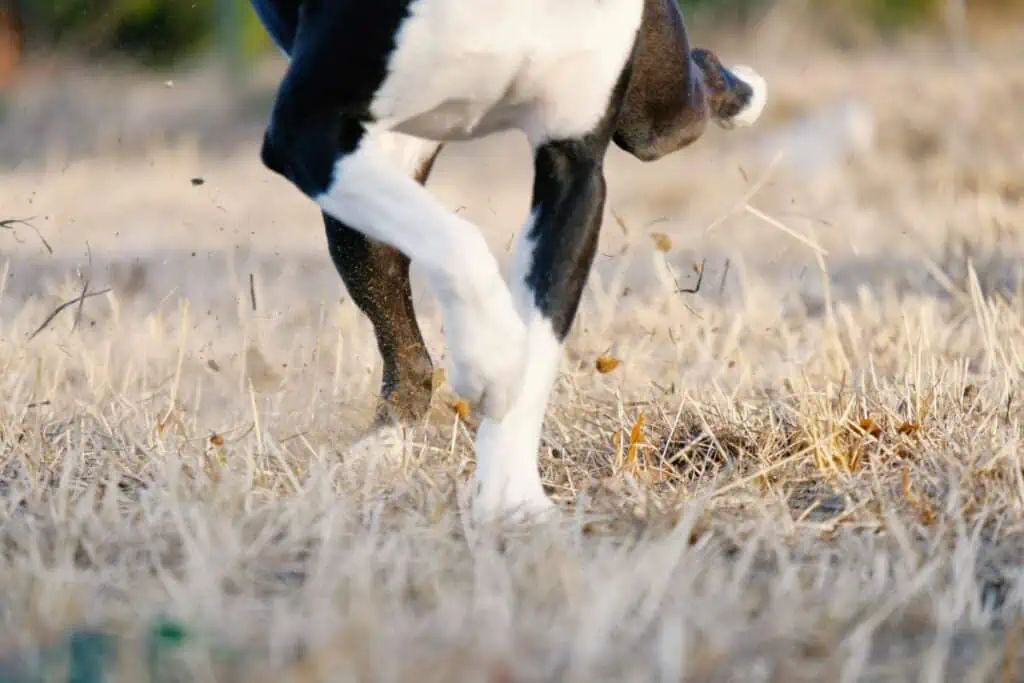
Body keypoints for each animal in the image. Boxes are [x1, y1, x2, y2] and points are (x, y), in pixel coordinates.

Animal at [249, 0, 761, 520]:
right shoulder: (307, 131)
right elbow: (458, 242)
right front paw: (490, 357)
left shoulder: (573, 170)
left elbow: (539, 341)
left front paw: (513, 498)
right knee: (403, 340)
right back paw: (383, 447)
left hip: (657, 116)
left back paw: (745, 91)